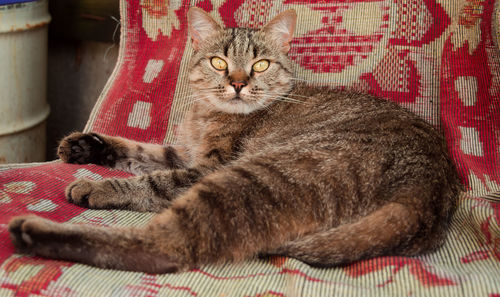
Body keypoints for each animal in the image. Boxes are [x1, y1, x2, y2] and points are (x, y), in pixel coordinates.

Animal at [6, 6, 460, 272]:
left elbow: (150, 180)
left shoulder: (206, 168)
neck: (208, 115)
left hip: (253, 179)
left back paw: (33, 233)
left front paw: (98, 185)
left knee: (163, 249)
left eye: (260, 65)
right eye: (219, 61)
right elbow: (138, 150)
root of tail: (428, 193)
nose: (239, 83)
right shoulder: (184, 153)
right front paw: (85, 146)